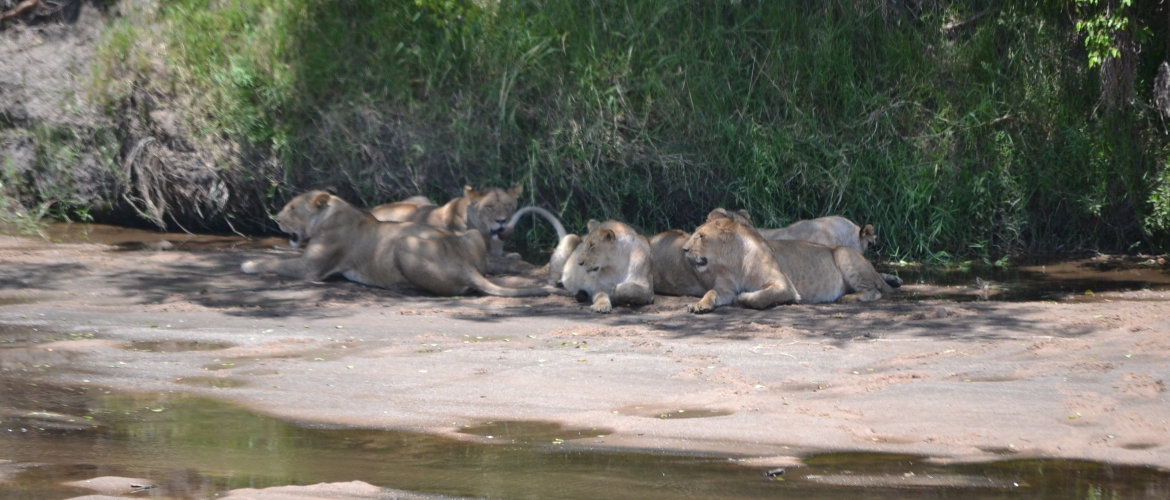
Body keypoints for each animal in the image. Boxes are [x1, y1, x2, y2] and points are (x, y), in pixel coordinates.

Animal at [239, 189, 559, 295]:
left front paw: (248, 263)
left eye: (292, 208)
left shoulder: (310, 269)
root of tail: (463, 263)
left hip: (405, 243)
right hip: (471, 236)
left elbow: (276, 262)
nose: (276, 219)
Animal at [683, 211, 889, 313]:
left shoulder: (785, 286)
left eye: (701, 236)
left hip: (843, 253)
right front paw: (699, 305)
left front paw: (743, 298)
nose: (684, 249)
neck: (731, 262)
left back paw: (848, 298)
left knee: (875, 292)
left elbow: (759, 297)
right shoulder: (725, 288)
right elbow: (711, 292)